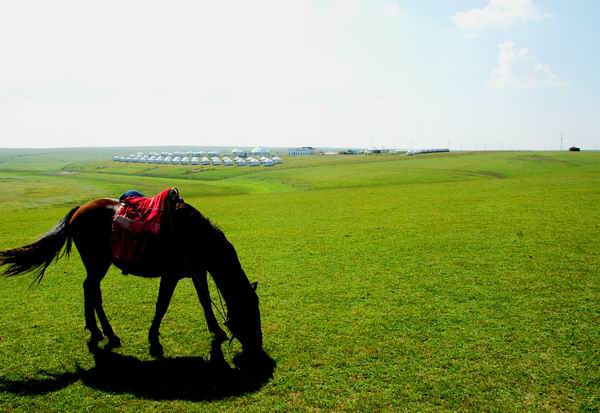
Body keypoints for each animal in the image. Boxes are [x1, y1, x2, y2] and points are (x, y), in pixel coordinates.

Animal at [0, 192, 262, 358]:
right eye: (250, 311)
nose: (257, 347)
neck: (194, 234)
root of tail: (78, 210)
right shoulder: (171, 275)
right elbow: (162, 304)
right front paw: (153, 338)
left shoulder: (197, 271)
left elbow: (205, 301)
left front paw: (216, 331)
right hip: (98, 263)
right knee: (93, 290)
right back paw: (108, 333)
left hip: (96, 265)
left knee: (88, 289)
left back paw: (96, 330)